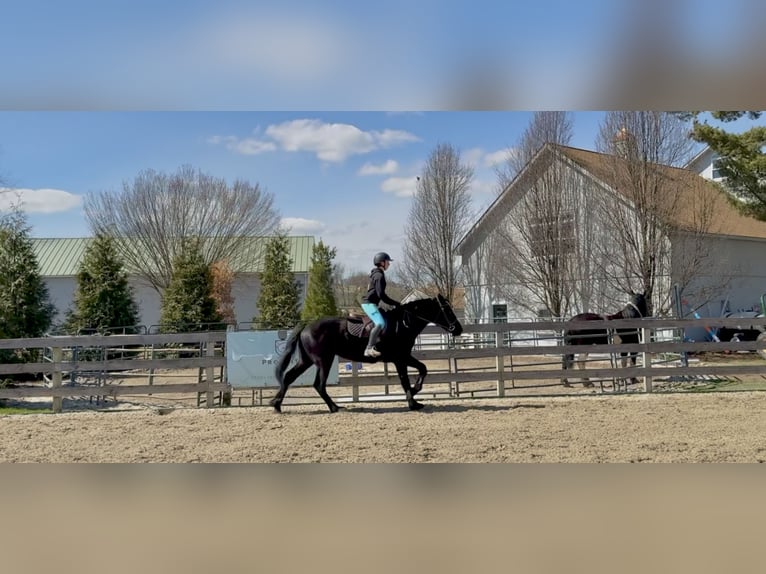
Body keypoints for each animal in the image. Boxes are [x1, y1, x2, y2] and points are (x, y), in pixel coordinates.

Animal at [272, 295, 463, 413]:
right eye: (447, 310)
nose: (458, 329)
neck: (403, 323)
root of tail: (307, 326)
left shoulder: (403, 358)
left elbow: (422, 369)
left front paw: (415, 396)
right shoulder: (400, 358)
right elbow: (407, 379)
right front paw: (413, 401)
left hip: (307, 360)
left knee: (289, 377)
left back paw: (276, 404)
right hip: (324, 361)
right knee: (319, 384)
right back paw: (334, 407)